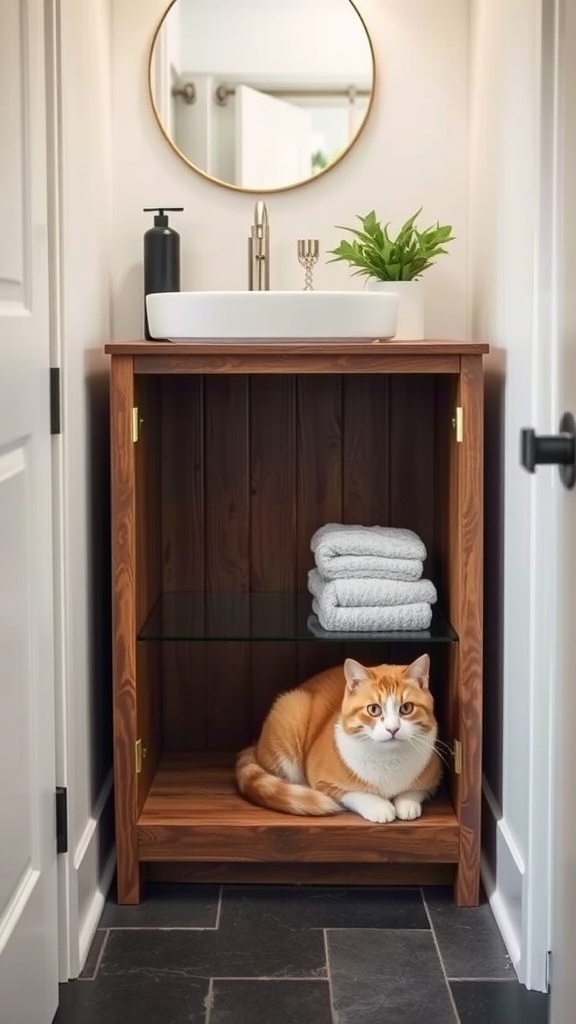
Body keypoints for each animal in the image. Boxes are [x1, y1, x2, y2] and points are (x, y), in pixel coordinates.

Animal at [235, 655, 436, 823]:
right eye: (374, 709)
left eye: (406, 708)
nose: (392, 729)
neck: (389, 760)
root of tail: (255, 744)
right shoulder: (323, 782)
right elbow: (355, 794)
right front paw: (380, 807)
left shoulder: (432, 778)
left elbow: (415, 790)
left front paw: (407, 804)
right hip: (292, 710)